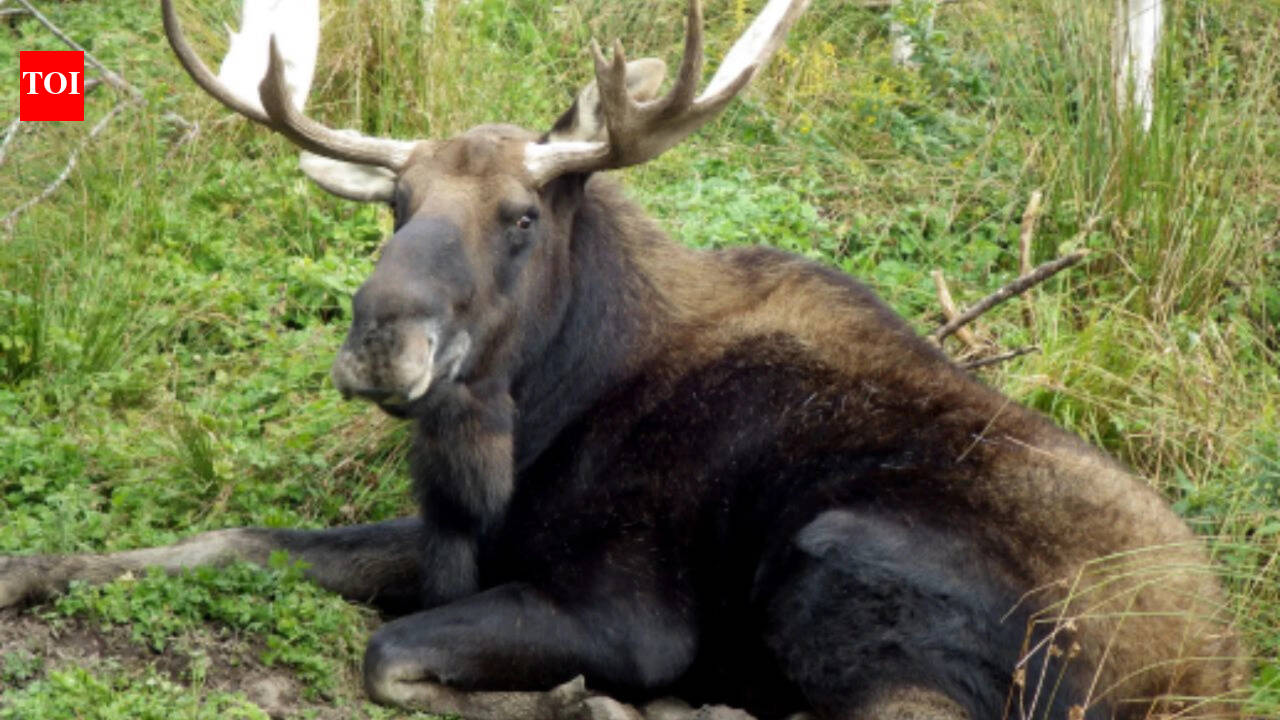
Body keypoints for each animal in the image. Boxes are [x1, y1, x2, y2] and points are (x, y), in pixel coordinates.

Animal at [0, 1, 1247, 718]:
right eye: (396, 204)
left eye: (518, 218)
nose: (378, 343)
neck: (533, 415)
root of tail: (1209, 684)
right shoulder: (451, 539)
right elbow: (234, 539)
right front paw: (33, 566)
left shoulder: (629, 618)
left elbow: (386, 655)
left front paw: (562, 697)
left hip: (844, 553)